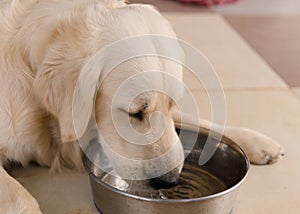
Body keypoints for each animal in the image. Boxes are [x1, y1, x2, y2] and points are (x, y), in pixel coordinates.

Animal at [0, 0, 284, 213]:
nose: (169, 181)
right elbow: (22, 198)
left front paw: (255, 141)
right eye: (134, 113)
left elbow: (196, 120)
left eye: (172, 103)